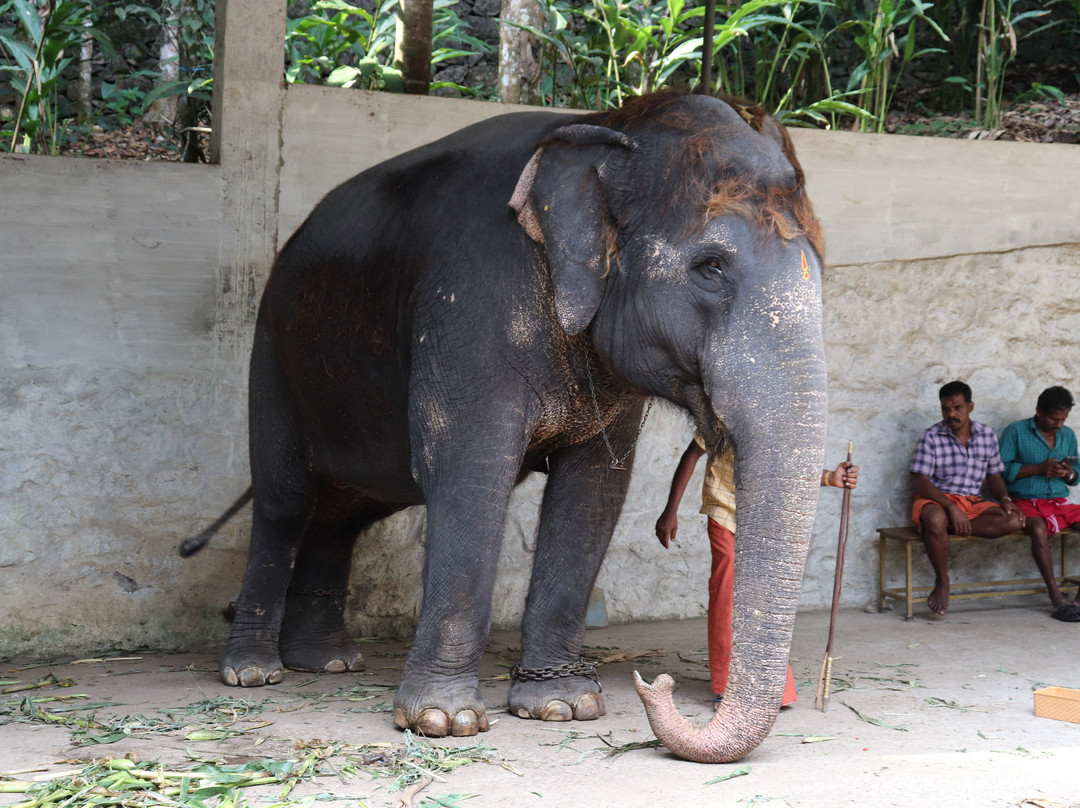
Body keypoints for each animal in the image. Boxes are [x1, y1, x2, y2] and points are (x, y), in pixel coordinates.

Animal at [208, 91, 828, 763]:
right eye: (710, 267)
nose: (653, 684)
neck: (608, 124)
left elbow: (594, 492)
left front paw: (563, 706)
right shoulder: (469, 306)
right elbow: (469, 471)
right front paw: (443, 722)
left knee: (347, 511)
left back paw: (328, 662)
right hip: (271, 350)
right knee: (286, 500)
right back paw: (255, 672)